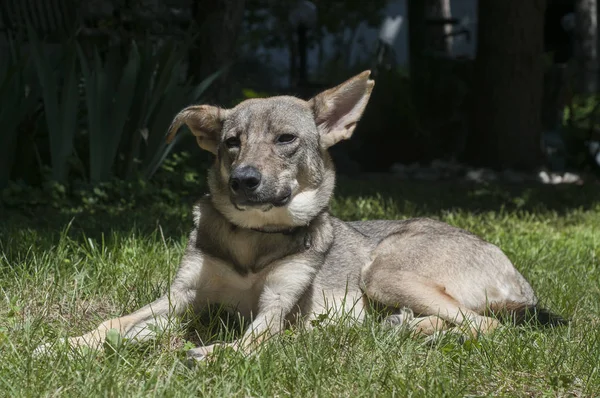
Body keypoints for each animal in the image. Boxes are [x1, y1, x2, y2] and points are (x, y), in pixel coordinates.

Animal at [36, 71, 564, 360]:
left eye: (286, 139)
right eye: (232, 142)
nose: (242, 180)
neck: (252, 239)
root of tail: (517, 277)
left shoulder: (276, 306)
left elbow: (250, 343)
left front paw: (211, 355)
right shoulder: (178, 299)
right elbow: (113, 325)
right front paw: (65, 345)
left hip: (385, 271)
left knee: (486, 326)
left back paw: (411, 329)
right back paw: (403, 327)